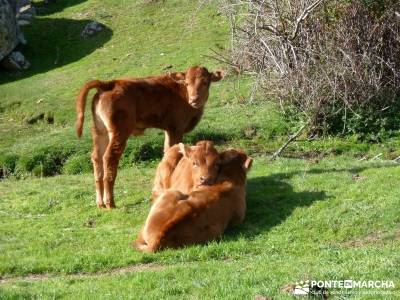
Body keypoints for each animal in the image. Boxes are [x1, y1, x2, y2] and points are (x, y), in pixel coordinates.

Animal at [75, 66, 223, 209]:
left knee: (96, 158)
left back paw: (100, 203)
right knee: (109, 158)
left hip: (100, 132)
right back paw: (110, 203)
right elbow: (174, 150)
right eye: (187, 83)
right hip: (119, 132)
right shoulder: (176, 129)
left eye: (205, 82)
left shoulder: (168, 130)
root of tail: (109, 84)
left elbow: (166, 151)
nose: (194, 99)